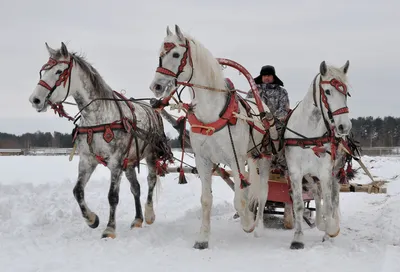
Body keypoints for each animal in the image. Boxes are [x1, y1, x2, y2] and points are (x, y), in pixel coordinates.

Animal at [149, 25, 278, 249]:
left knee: (262, 193)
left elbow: (240, 199)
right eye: (160, 55)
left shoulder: (236, 160)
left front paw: (248, 223)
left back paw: (258, 227)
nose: (155, 86)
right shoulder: (203, 160)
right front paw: (202, 238)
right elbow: (206, 200)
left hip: (264, 157)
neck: (211, 113)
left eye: (175, 54)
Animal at [282, 60, 352, 250]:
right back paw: (320, 222)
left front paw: (329, 234)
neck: (309, 134)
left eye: (346, 93)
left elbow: (328, 205)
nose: (344, 127)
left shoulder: (325, 172)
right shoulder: (296, 172)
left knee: (333, 199)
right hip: (310, 176)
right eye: (327, 91)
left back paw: (331, 225)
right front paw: (298, 238)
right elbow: (299, 205)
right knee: (316, 192)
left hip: (335, 172)